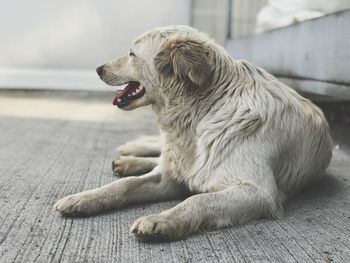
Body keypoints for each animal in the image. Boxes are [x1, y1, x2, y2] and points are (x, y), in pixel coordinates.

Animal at [53, 25, 332, 242]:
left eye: (132, 54)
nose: (98, 69)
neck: (200, 114)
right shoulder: (169, 177)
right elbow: (124, 185)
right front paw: (83, 199)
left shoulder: (258, 192)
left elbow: (197, 201)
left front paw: (160, 221)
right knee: (156, 158)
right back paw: (129, 157)